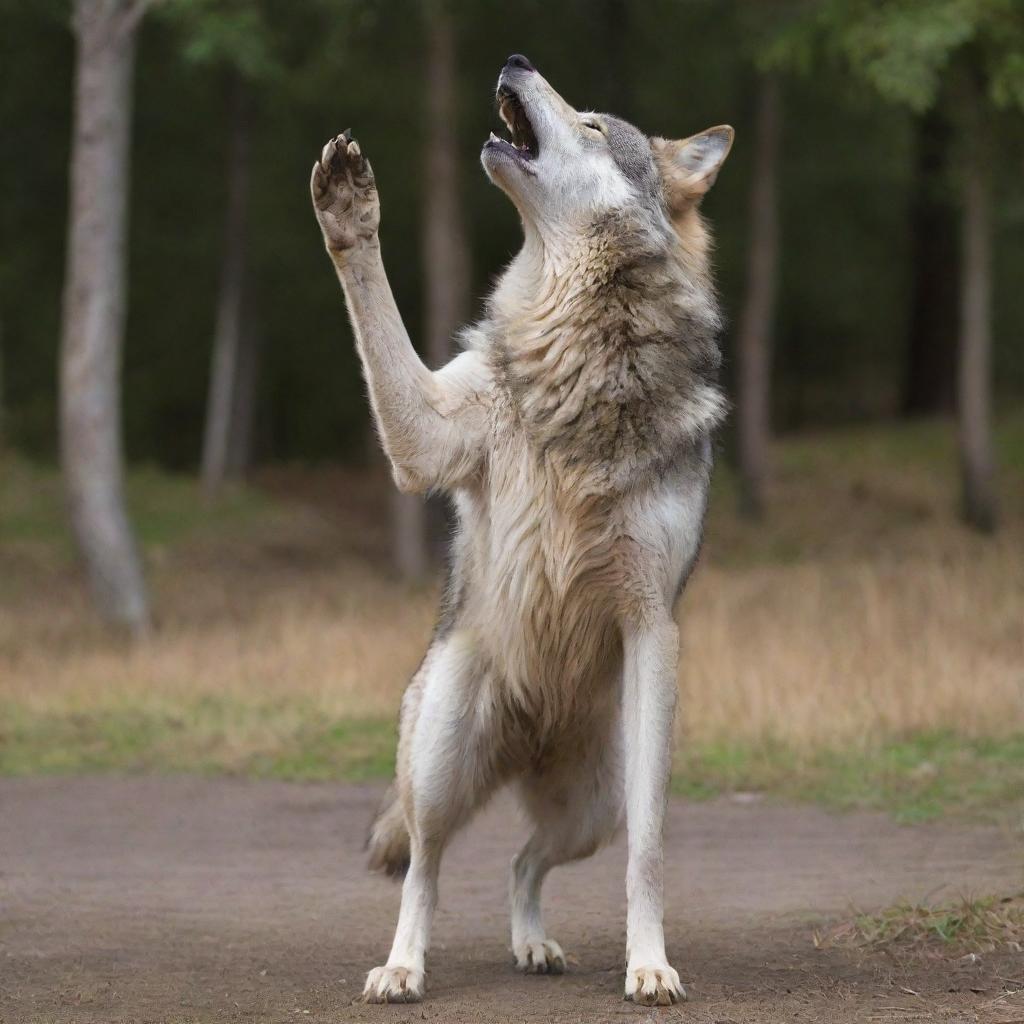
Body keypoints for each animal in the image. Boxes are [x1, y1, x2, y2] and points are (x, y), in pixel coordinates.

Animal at [307, 51, 733, 1003]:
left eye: (592, 125)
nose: (515, 59)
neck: (576, 343)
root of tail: (528, 739)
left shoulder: (652, 627)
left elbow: (651, 854)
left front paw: (649, 965)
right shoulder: (423, 440)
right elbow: (376, 312)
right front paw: (349, 209)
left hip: (593, 809)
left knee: (520, 862)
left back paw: (533, 945)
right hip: (438, 759)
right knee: (427, 869)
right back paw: (402, 968)